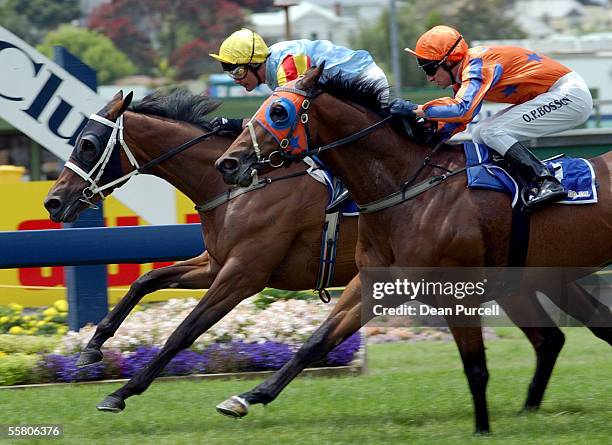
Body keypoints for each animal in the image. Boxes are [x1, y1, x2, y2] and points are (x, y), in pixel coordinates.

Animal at [215, 67, 612, 432]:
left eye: (278, 111)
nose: (228, 163)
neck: (408, 188)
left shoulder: (457, 293)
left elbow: (476, 367)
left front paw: (482, 429)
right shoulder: (374, 282)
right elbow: (318, 340)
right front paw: (247, 397)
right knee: (572, 333)